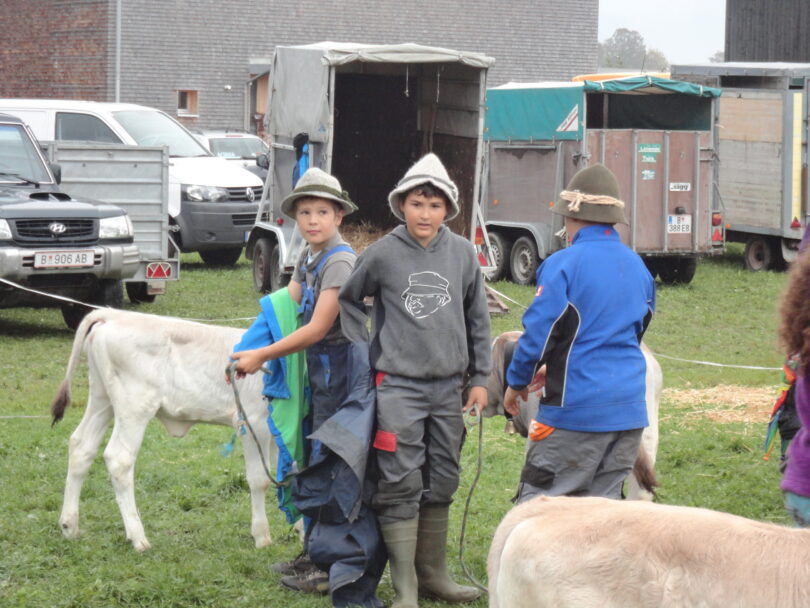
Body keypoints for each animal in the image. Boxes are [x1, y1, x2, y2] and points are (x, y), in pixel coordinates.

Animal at [51, 308, 280, 551]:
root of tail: (114, 314)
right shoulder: (254, 421)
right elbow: (260, 479)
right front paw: (262, 536)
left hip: (102, 398)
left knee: (81, 446)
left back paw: (70, 526)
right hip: (134, 407)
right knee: (119, 459)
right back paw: (138, 537)